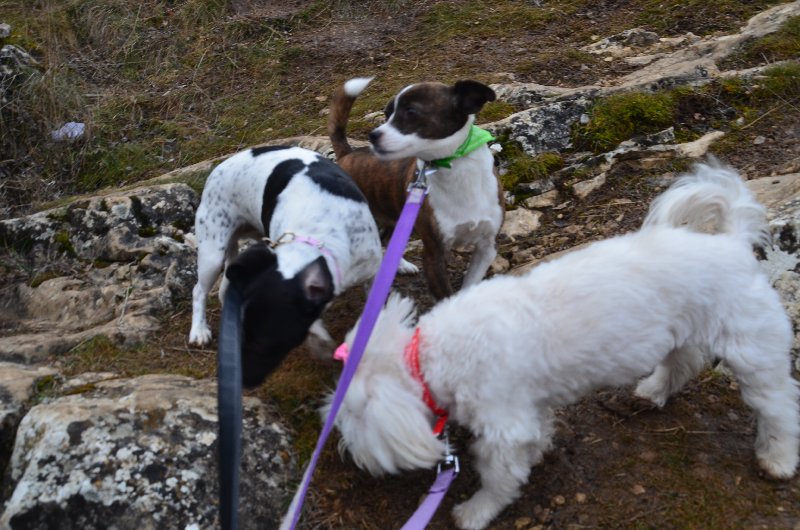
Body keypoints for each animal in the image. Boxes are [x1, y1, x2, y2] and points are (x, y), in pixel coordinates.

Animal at [191, 144, 384, 384]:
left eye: (263, 344)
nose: (238, 380)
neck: (318, 236)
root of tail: (218, 168)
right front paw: (320, 342)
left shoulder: (372, 272)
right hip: (212, 253)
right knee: (198, 290)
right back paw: (198, 330)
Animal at [324, 162, 800, 528]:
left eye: (348, 422)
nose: (346, 455)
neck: (435, 354)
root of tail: (732, 242)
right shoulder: (527, 409)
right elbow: (533, 439)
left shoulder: (502, 425)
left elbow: (499, 477)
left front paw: (475, 511)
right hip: (682, 330)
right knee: (682, 362)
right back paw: (653, 391)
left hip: (749, 346)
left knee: (778, 405)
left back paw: (777, 458)